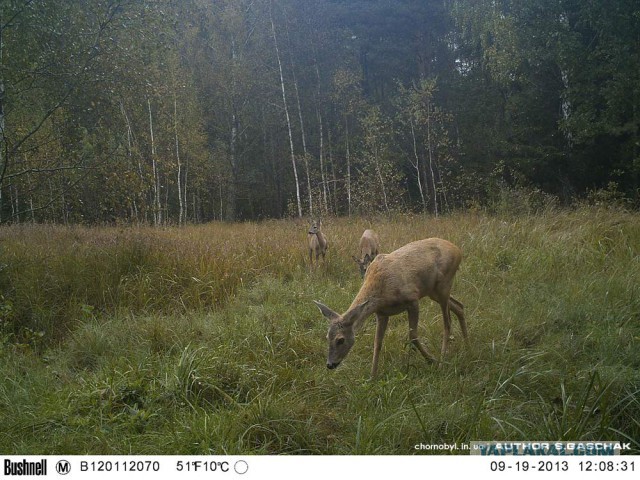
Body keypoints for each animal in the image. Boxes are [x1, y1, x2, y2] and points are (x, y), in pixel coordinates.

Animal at [312, 237, 468, 378]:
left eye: (340, 340)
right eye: (327, 336)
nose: (330, 364)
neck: (382, 292)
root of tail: (458, 250)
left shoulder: (412, 299)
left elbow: (413, 336)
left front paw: (431, 360)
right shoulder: (381, 313)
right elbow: (377, 343)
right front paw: (372, 377)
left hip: (444, 285)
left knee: (447, 323)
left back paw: (442, 362)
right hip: (433, 291)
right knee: (459, 306)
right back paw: (468, 343)